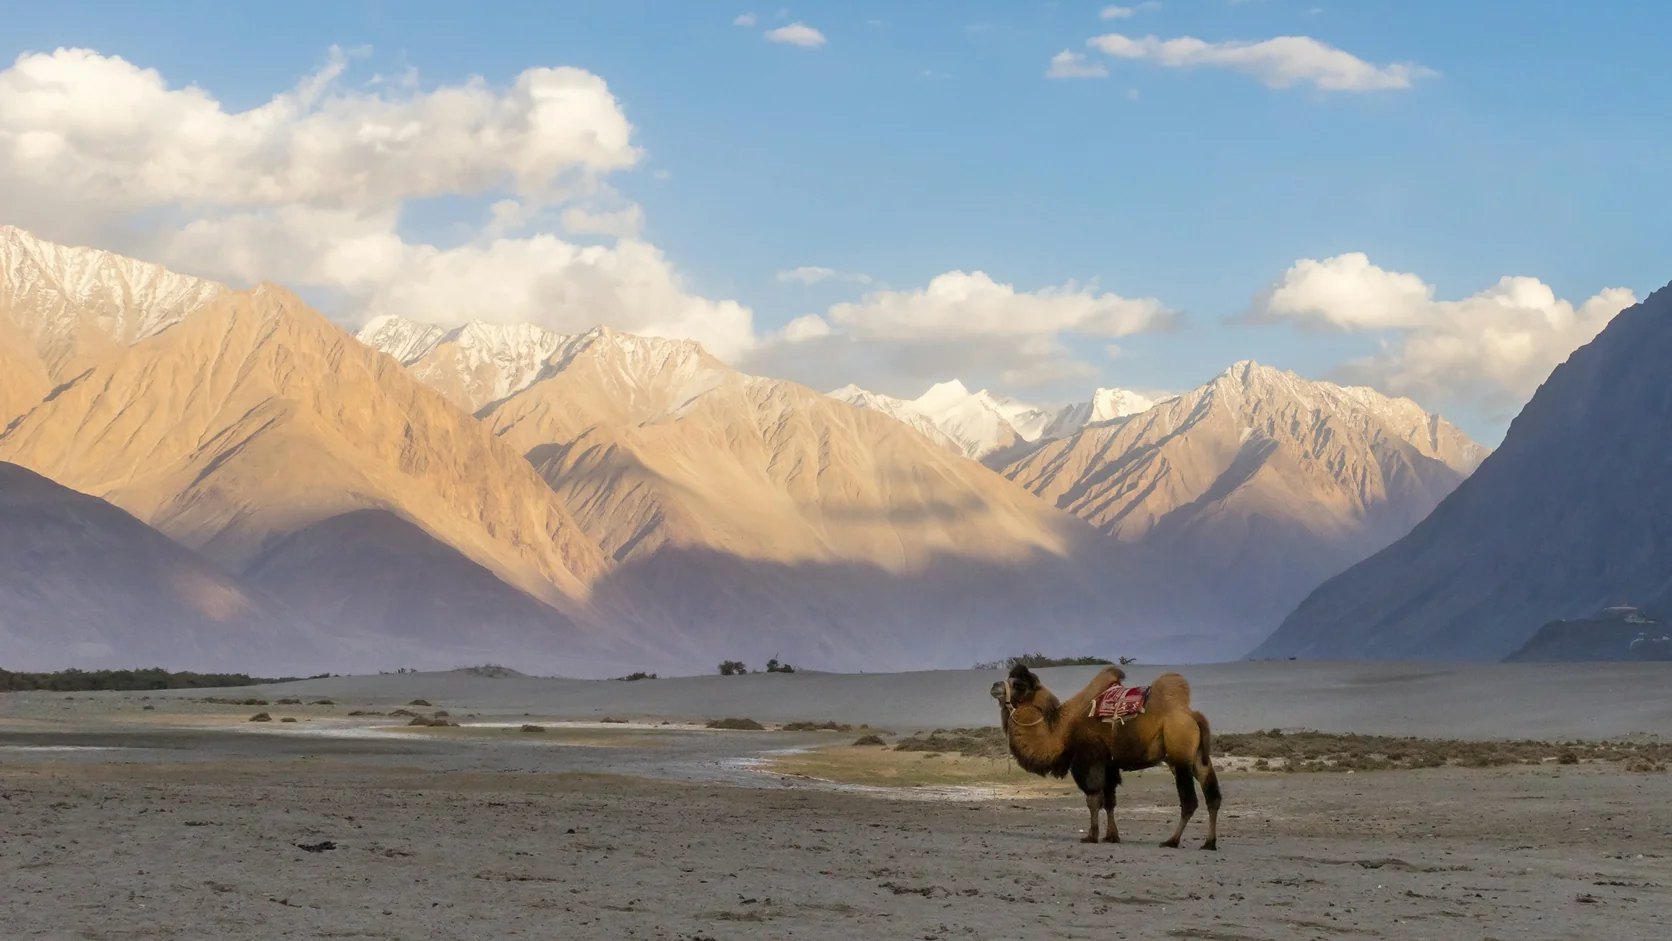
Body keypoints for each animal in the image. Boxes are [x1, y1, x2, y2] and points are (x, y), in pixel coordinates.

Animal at [990, 663, 1220, 849]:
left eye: (1019, 684)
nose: (994, 686)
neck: (1061, 731)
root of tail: (1193, 716)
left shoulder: (1088, 758)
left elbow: (1093, 798)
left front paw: (1091, 836)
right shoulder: (1109, 764)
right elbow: (1109, 801)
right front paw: (1111, 836)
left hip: (1179, 754)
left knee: (1189, 801)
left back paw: (1172, 840)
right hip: (1198, 757)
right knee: (1212, 796)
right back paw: (1209, 843)